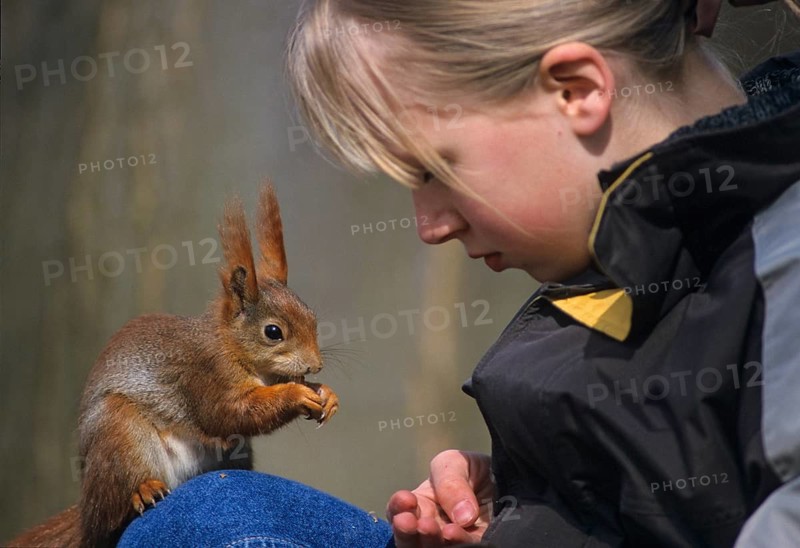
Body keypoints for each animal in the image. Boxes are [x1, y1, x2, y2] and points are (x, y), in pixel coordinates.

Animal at [7, 181, 339, 548]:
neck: (233, 348)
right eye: (273, 332)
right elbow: (229, 413)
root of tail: (86, 513)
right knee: (114, 507)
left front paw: (325, 394)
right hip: (118, 433)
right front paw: (297, 395)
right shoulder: (204, 374)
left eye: (312, 318)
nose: (316, 365)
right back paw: (143, 490)